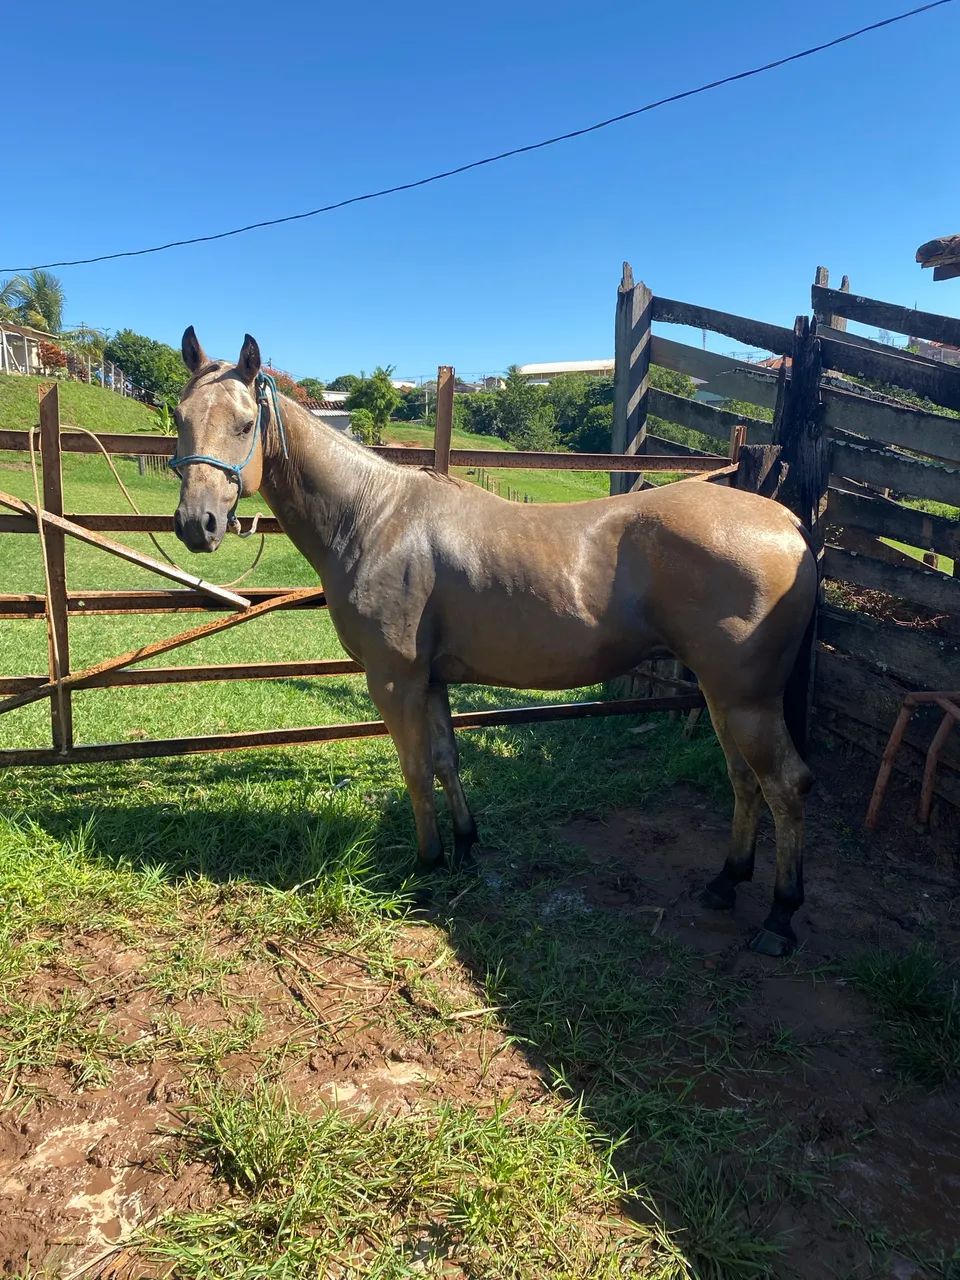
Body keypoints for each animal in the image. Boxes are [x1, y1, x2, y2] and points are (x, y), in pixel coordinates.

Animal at [170, 329, 817, 956]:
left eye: (245, 424)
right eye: (179, 416)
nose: (196, 525)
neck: (374, 516)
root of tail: (786, 523)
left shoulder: (394, 681)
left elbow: (415, 770)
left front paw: (428, 865)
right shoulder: (430, 682)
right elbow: (446, 762)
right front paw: (465, 847)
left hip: (745, 699)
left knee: (785, 785)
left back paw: (781, 918)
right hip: (720, 695)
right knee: (744, 779)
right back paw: (726, 882)